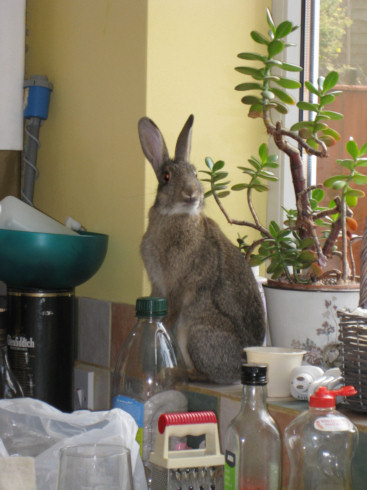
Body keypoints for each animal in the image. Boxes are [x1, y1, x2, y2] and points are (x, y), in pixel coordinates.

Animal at [137, 114, 264, 382]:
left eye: (195, 173)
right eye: (166, 176)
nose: (191, 194)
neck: (175, 216)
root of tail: (240, 367)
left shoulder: (178, 284)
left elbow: (170, 313)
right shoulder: (158, 284)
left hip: (193, 329)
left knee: (207, 375)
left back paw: (176, 371)